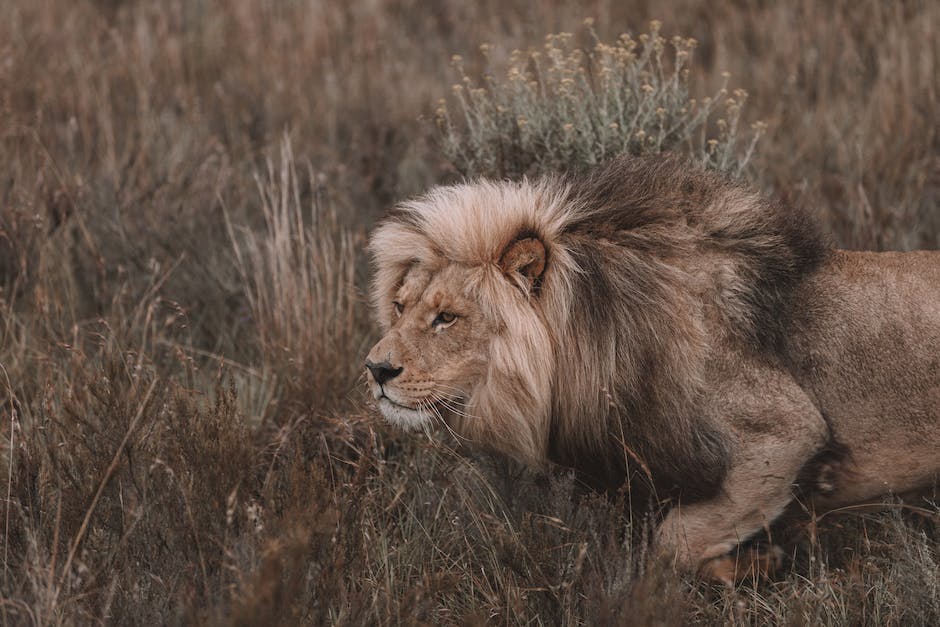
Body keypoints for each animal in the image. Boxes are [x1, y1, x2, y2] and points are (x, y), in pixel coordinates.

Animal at [362, 153, 940, 584]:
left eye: (446, 318)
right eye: (400, 306)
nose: (375, 370)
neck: (593, 337)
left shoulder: (785, 435)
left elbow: (672, 542)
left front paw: (759, 564)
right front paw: (754, 564)